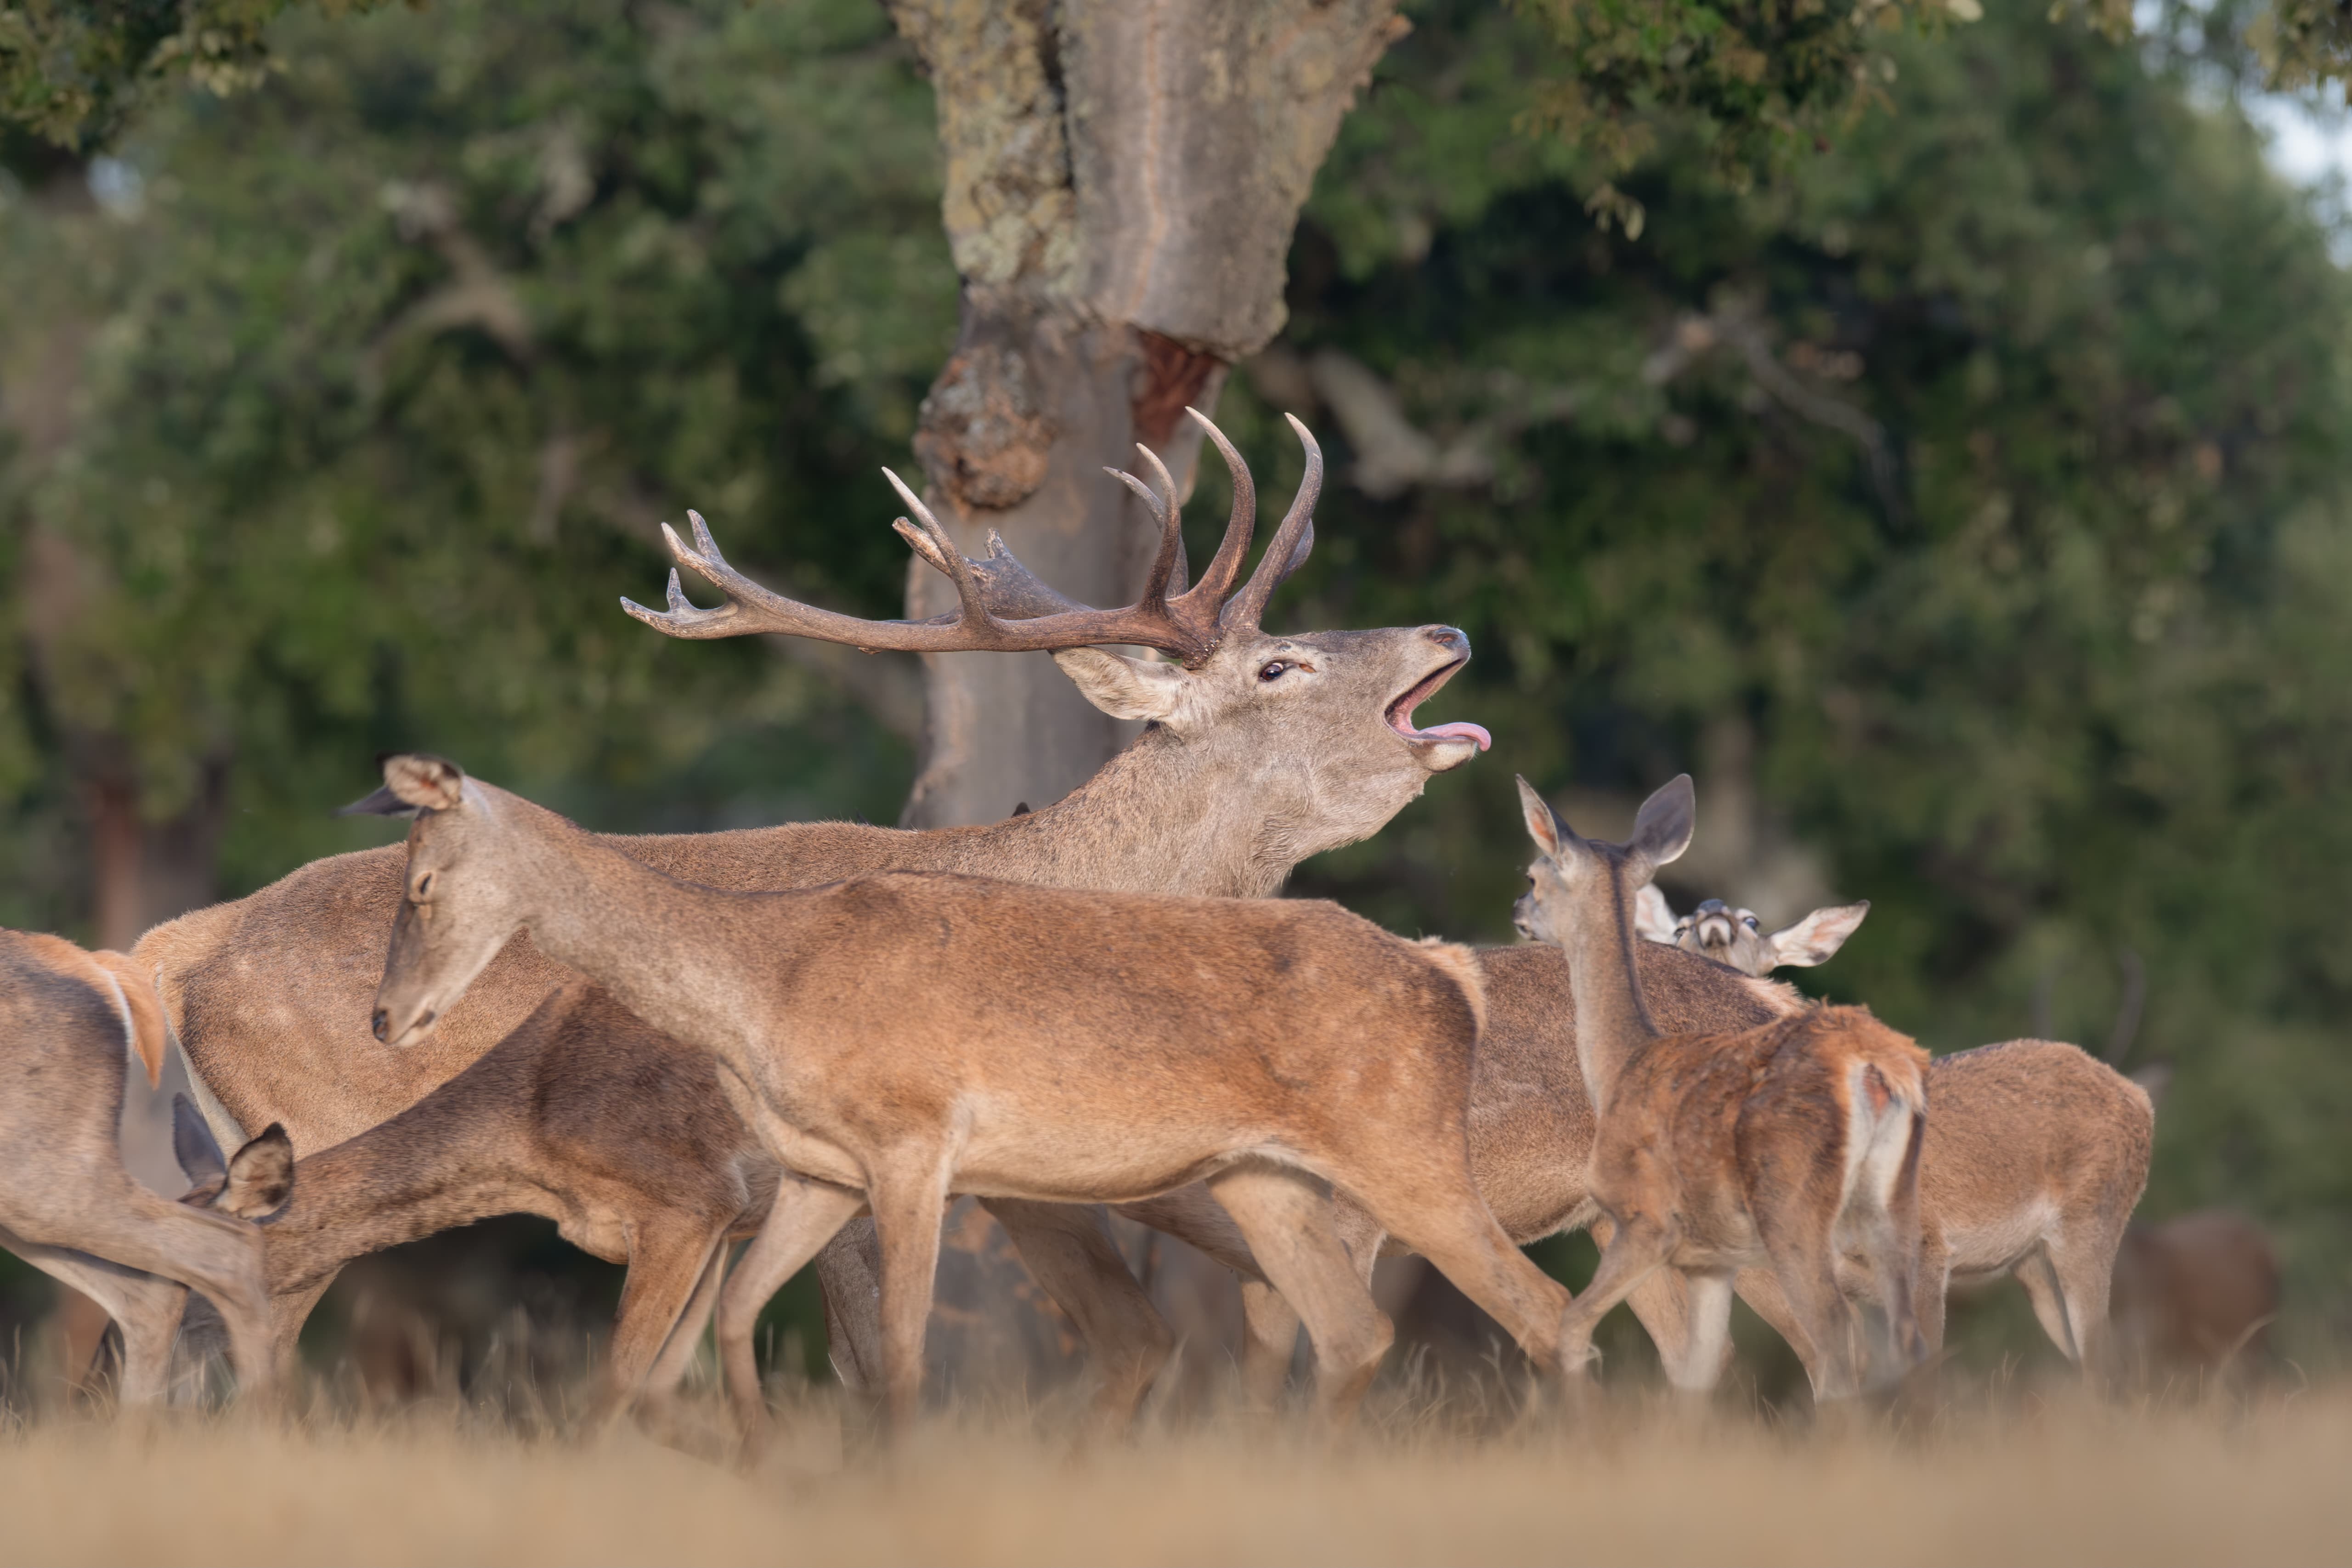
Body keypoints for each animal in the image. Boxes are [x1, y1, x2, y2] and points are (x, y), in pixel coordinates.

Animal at [350, 751, 1582, 1434]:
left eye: (422, 883)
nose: (383, 1016)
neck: (768, 983)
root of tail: (1450, 979)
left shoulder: (915, 1142)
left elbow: (900, 1356)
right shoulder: (820, 1169)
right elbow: (745, 1319)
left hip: (1406, 1151)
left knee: (1547, 1310)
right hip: (1264, 1177)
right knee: (1355, 1332)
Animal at [1512, 775, 1930, 1400]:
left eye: (1534, 875)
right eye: (1679, 926)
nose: (1516, 909)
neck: (1623, 1058)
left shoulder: (1644, 1221)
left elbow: (1576, 1328)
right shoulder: (1699, 1255)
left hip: (1787, 1218)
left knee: (1838, 1335)